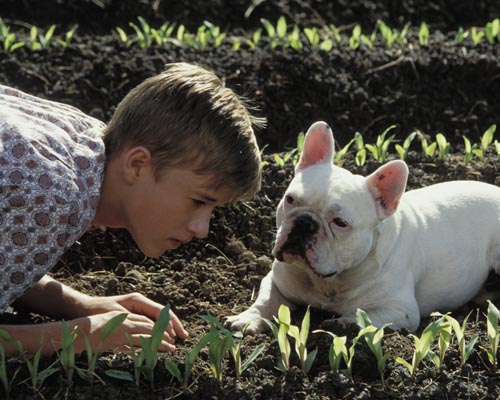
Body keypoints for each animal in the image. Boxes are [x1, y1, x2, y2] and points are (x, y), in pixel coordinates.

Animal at [229, 121, 500, 332]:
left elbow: (366, 316)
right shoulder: (276, 280)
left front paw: (343, 323)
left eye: (340, 223)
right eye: (290, 199)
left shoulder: (400, 310)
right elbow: (266, 300)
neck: (331, 281)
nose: (305, 223)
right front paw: (248, 318)